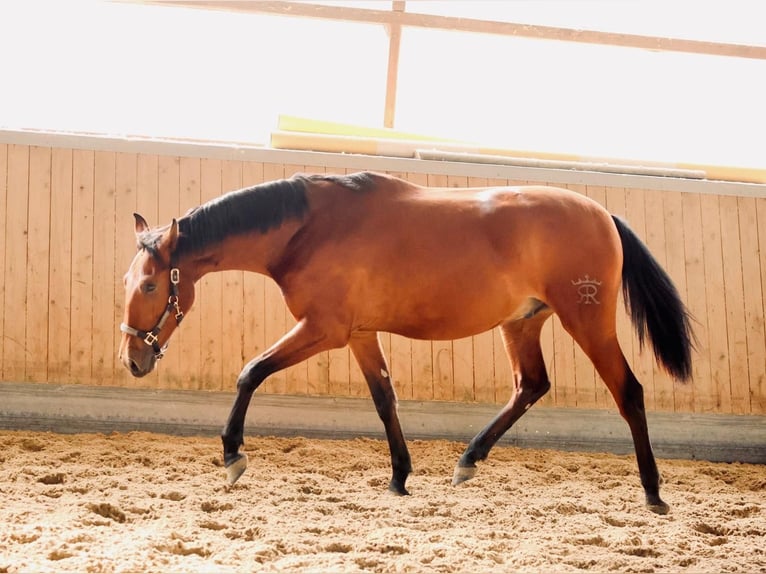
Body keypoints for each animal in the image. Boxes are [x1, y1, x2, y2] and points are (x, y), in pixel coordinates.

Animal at [119, 171, 693, 515]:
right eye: (128, 281)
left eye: (149, 286)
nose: (132, 359)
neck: (309, 229)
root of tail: (603, 215)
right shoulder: (358, 333)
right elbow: (384, 399)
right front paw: (399, 476)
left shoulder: (323, 329)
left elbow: (251, 372)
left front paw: (233, 454)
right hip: (523, 322)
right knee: (530, 385)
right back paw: (468, 461)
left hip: (587, 321)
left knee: (628, 392)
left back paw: (653, 492)